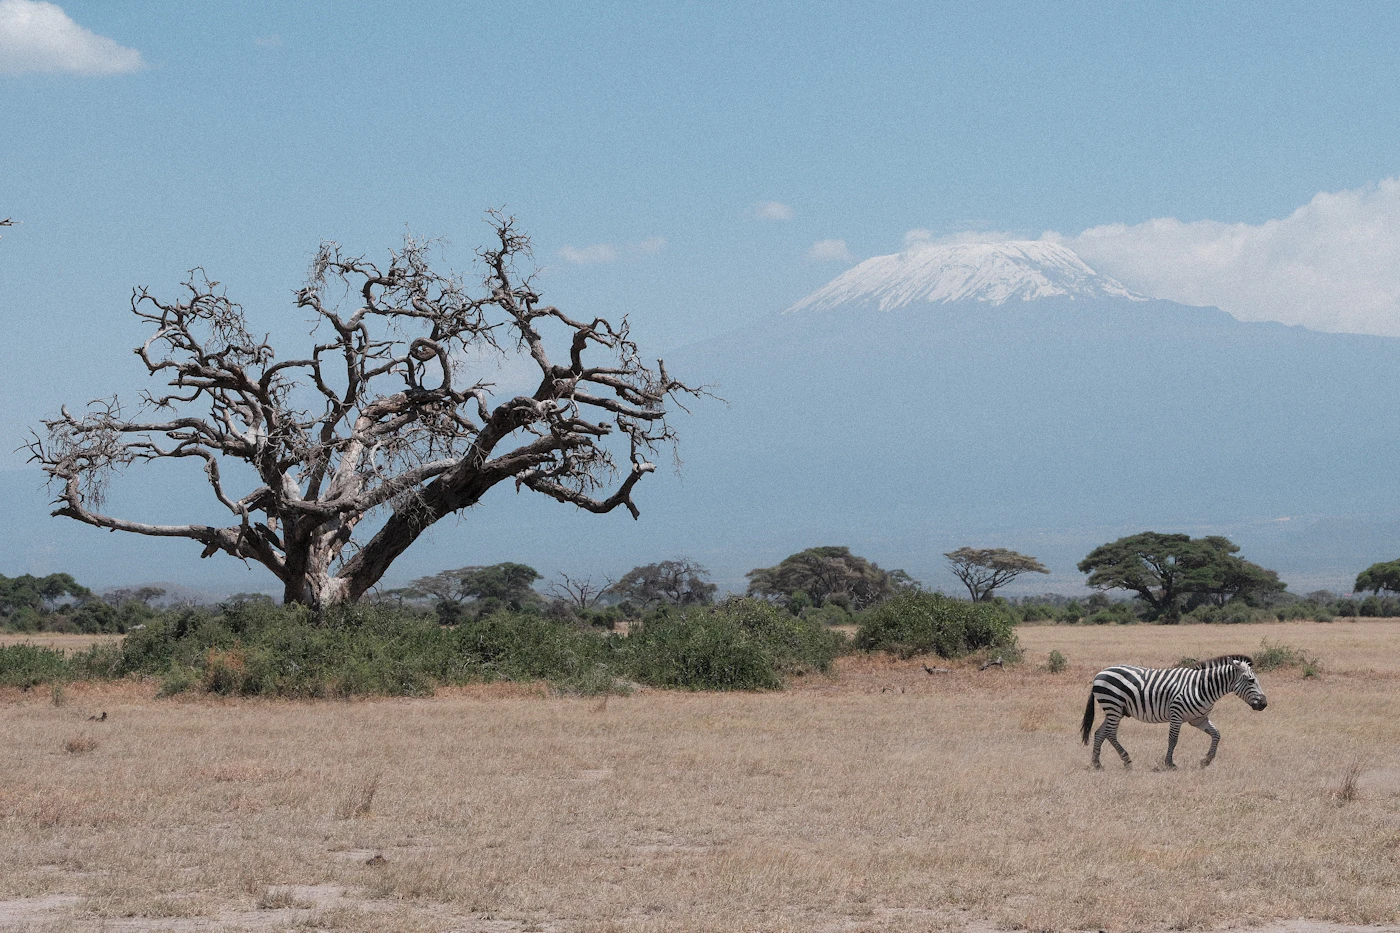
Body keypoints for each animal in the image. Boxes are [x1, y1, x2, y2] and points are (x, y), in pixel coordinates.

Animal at [1080, 654, 1268, 770]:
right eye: (1251, 680)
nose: (1264, 704)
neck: (1202, 686)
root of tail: (1100, 674)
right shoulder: (1176, 714)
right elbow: (1173, 739)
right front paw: (1169, 763)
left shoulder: (1199, 719)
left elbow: (1216, 734)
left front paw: (1206, 760)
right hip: (1113, 705)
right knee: (1111, 733)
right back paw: (1126, 760)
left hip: (1115, 710)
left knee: (1100, 733)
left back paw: (1096, 763)